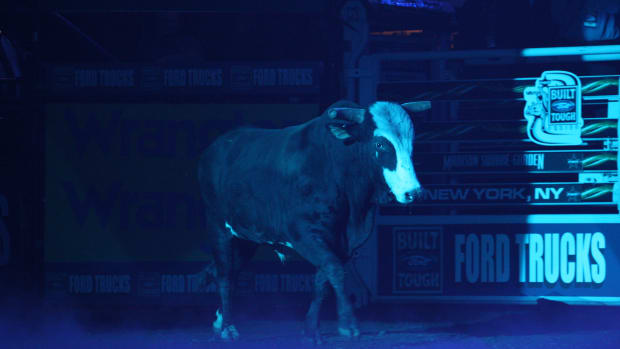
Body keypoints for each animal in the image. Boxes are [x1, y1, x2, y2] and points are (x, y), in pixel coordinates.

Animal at [199, 99, 432, 342]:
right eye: (379, 144)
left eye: (411, 143)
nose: (414, 192)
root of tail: (216, 147)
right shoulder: (304, 234)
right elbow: (334, 269)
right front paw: (347, 323)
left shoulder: (340, 241)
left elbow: (323, 280)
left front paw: (311, 327)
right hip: (218, 227)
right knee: (225, 275)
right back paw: (227, 326)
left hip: (246, 238)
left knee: (230, 271)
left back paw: (220, 320)